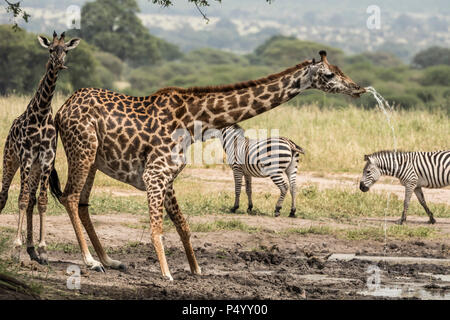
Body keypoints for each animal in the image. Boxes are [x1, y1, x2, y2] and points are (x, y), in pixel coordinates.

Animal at [0, 31, 80, 264]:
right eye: (50, 49)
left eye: (66, 50)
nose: (59, 63)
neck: (42, 113)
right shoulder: (26, 158)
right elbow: (21, 199)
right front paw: (16, 249)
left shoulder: (45, 160)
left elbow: (41, 201)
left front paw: (43, 250)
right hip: (10, 160)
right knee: (4, 196)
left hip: (35, 170)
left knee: (32, 200)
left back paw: (32, 249)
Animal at [50, 50, 366, 280]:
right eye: (329, 74)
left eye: (341, 70)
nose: (358, 88)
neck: (193, 121)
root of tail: (61, 110)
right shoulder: (155, 173)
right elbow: (157, 227)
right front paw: (166, 274)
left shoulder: (169, 176)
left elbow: (183, 225)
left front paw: (197, 270)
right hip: (82, 149)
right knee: (70, 197)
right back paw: (90, 261)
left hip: (93, 159)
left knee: (82, 202)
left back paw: (109, 260)